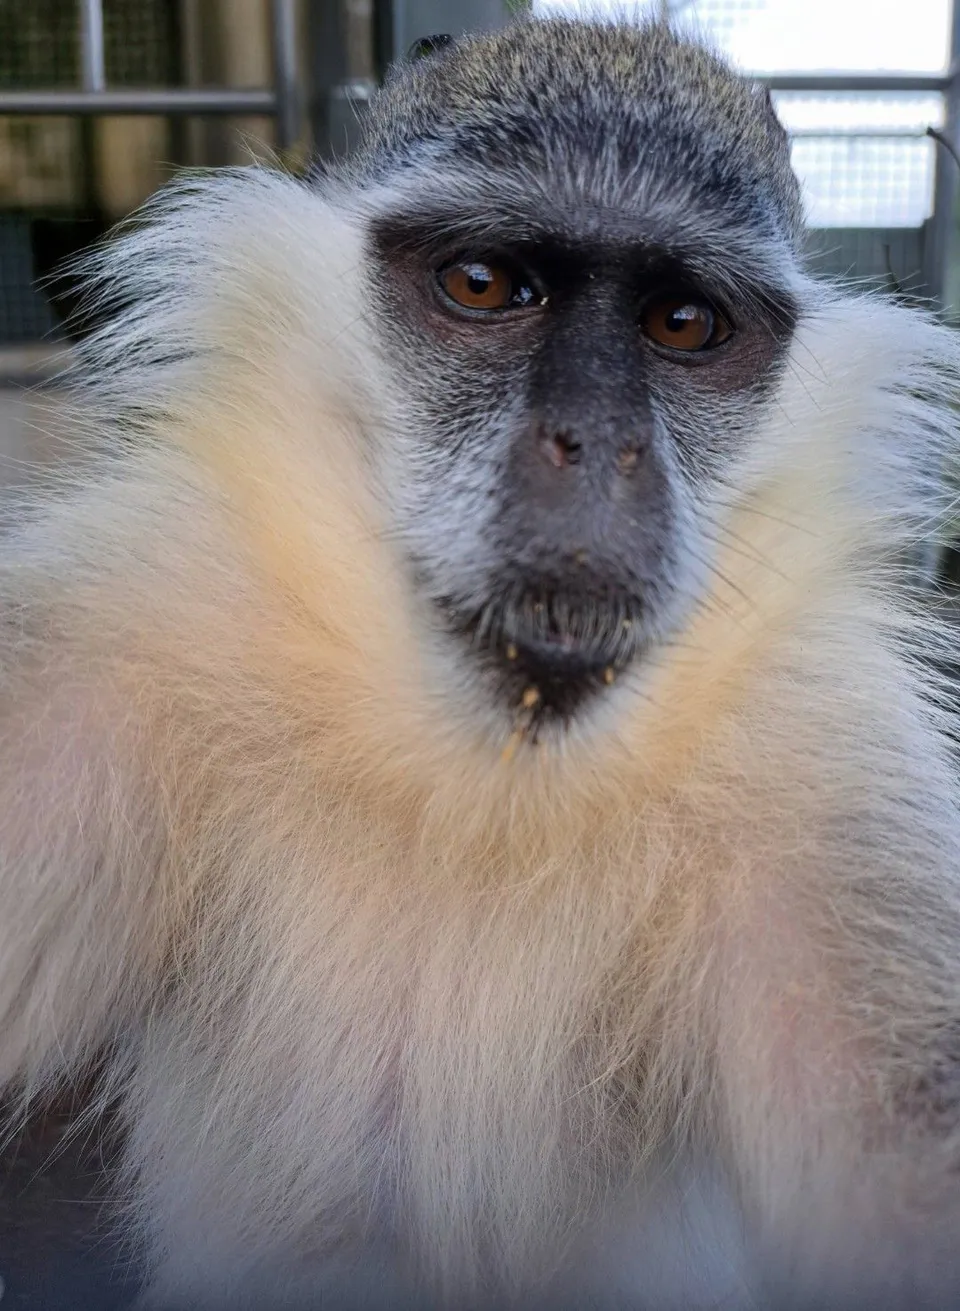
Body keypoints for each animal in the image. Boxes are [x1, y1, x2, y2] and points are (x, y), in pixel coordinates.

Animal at [3, 11, 960, 1309]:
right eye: (485, 285)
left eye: (682, 324)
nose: (595, 445)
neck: (479, 781)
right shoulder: (126, 629)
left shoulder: (833, 778)